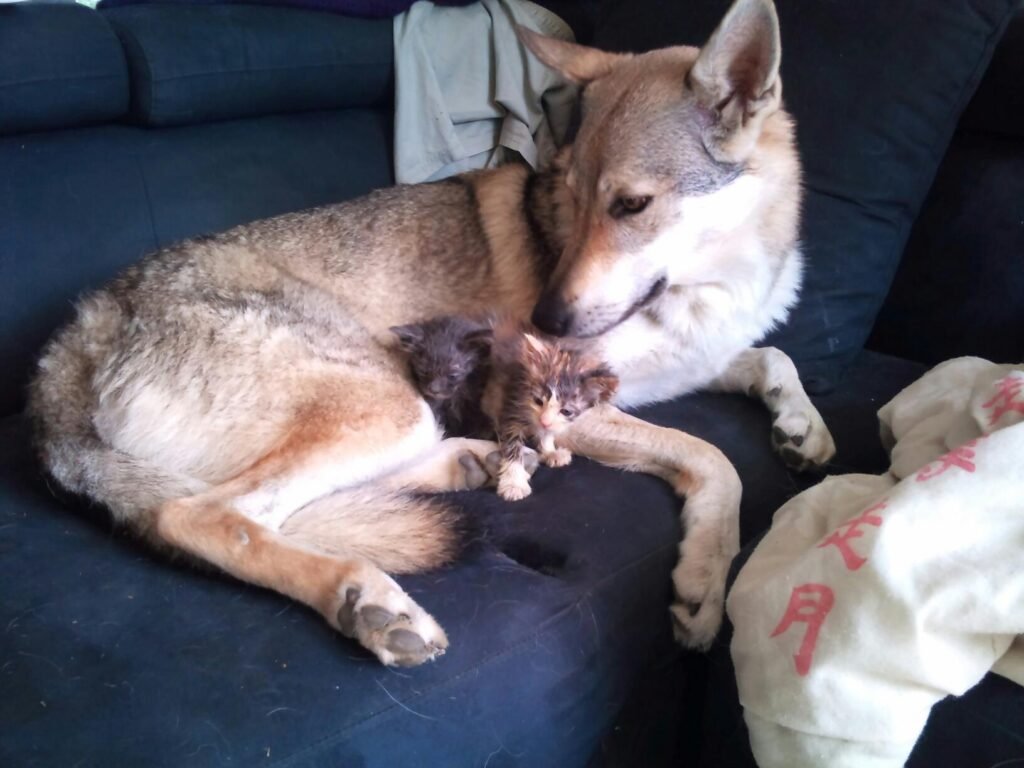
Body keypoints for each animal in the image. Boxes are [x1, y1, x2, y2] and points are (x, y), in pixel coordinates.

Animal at [29, 0, 831, 663]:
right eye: (569, 197)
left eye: (631, 205)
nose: (542, 324)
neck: (710, 283)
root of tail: (78, 334)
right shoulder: (576, 408)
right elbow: (713, 459)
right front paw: (705, 581)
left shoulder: (690, 359)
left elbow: (772, 358)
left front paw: (803, 428)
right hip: (384, 407)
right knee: (211, 516)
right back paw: (366, 600)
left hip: (393, 417)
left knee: (300, 503)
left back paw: (465, 466)